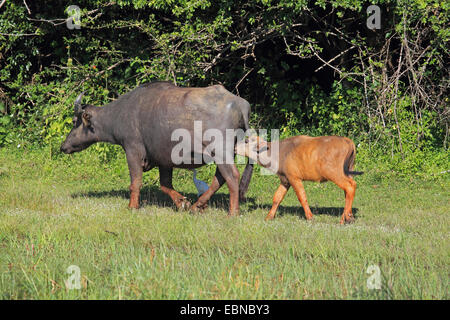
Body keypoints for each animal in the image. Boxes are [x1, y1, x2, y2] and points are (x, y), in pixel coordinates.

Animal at [60, 81, 253, 216]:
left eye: (74, 121)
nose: (63, 147)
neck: (120, 114)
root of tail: (239, 104)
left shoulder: (132, 150)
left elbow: (135, 182)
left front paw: (132, 206)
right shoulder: (164, 159)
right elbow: (165, 184)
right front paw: (182, 202)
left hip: (221, 152)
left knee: (232, 176)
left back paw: (232, 212)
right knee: (219, 178)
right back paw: (197, 205)